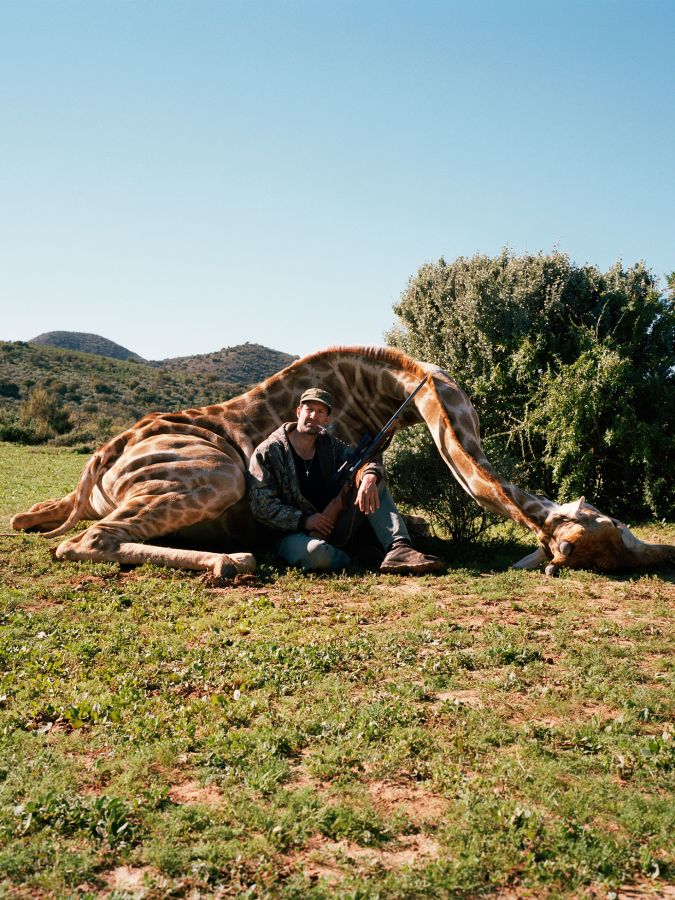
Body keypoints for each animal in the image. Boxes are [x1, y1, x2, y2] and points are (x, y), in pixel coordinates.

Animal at [10, 344, 675, 576]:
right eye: (605, 526)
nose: (658, 558)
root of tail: (100, 461)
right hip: (218, 474)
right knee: (88, 540)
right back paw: (232, 560)